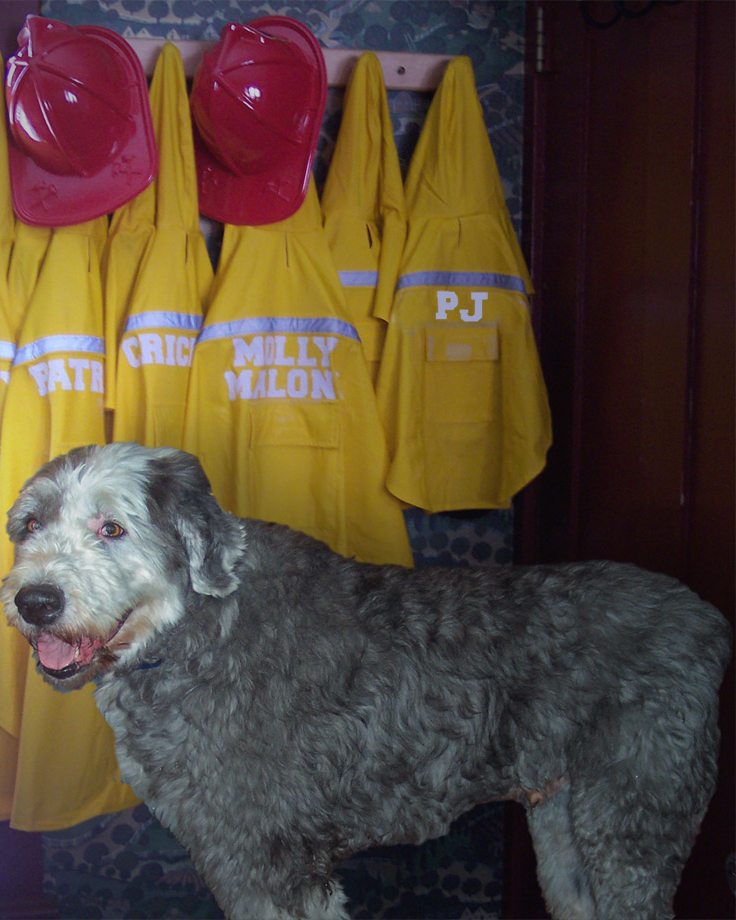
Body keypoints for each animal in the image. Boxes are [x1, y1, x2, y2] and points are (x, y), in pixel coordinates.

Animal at [1, 442, 731, 920]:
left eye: (112, 528)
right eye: (30, 523)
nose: (35, 601)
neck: (199, 630)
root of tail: (707, 620)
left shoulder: (277, 860)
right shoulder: (230, 856)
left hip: (633, 819)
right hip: (566, 827)